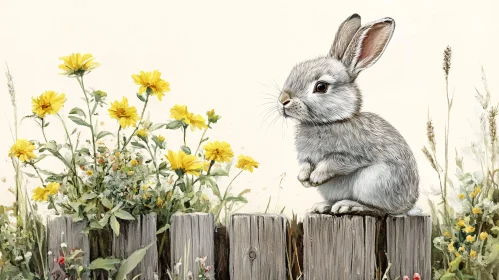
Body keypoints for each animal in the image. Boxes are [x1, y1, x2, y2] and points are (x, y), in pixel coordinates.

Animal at [280, 13, 420, 214]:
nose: (283, 100)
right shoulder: (305, 157)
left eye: (321, 87)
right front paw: (304, 179)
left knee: (382, 210)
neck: (330, 121)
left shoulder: (352, 156)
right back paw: (323, 206)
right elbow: (305, 165)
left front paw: (315, 177)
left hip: (373, 182)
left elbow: (333, 163)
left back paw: (349, 206)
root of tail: (409, 204)